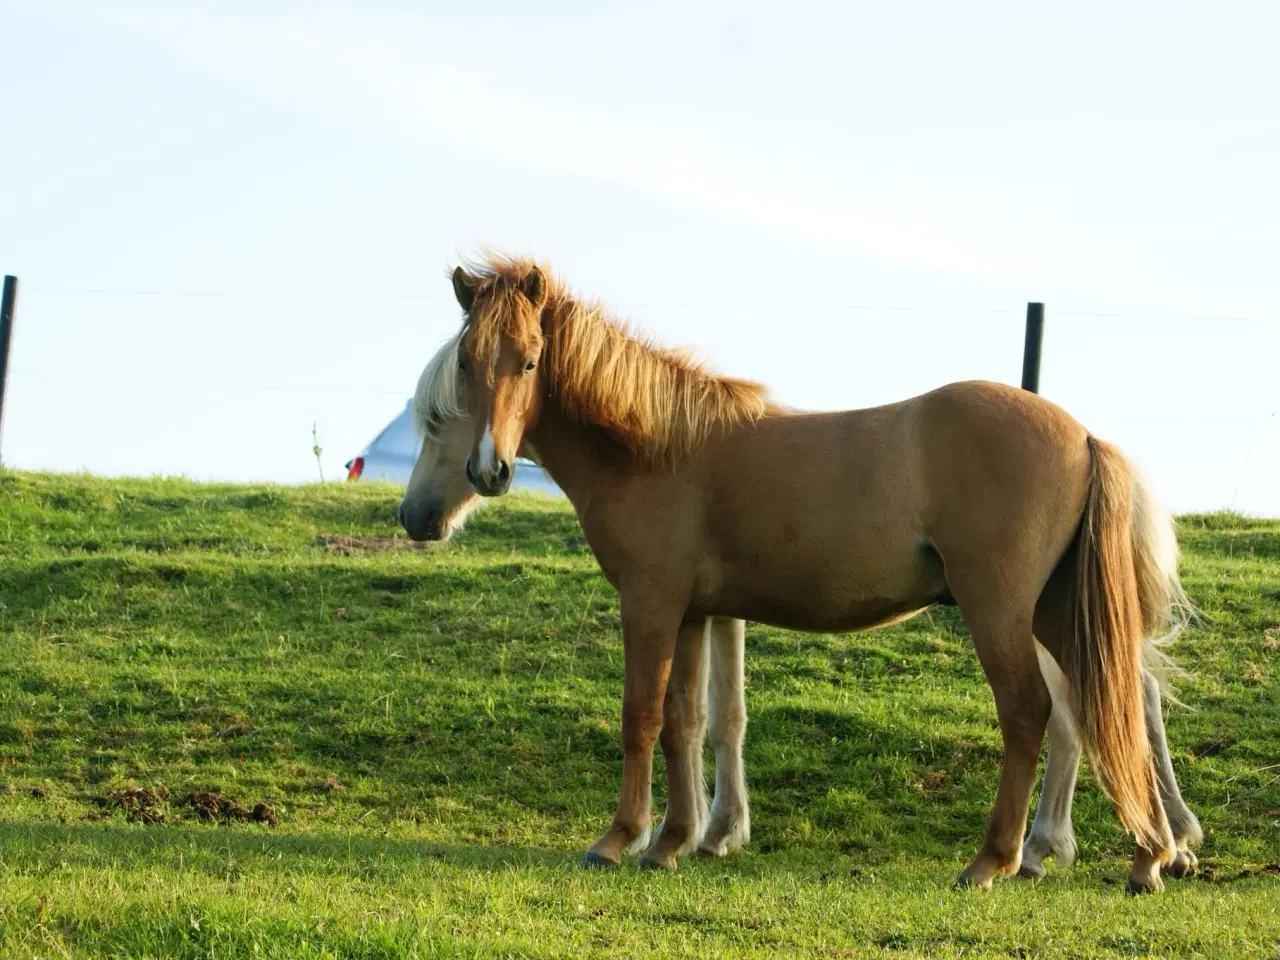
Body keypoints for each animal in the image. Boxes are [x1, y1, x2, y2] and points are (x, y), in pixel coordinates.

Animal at [417, 256, 1198, 896]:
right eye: (468, 364)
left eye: (529, 362)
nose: (487, 471)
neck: (658, 447)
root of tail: (1084, 435)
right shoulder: (692, 612)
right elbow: (686, 721)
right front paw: (674, 841)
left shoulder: (649, 604)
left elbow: (640, 716)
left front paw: (618, 840)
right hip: (1059, 614)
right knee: (1117, 706)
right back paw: (1149, 857)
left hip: (1001, 611)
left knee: (1034, 712)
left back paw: (997, 859)